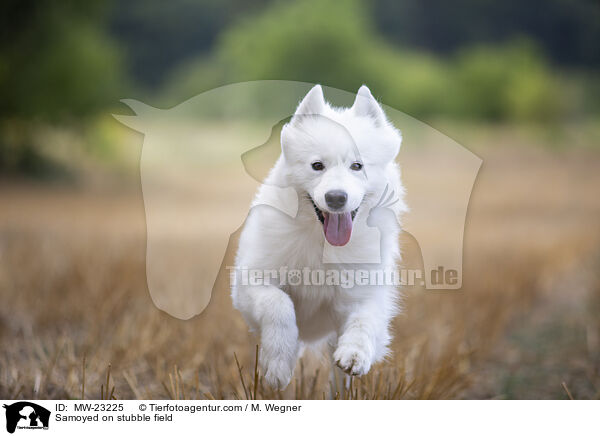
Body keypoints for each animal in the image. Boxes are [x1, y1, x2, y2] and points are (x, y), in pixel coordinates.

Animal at [231, 84, 408, 388]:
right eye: (317, 166)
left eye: (357, 166)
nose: (336, 198)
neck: (322, 243)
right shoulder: (251, 284)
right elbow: (280, 305)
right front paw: (278, 365)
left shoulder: (366, 294)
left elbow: (365, 321)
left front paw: (354, 355)